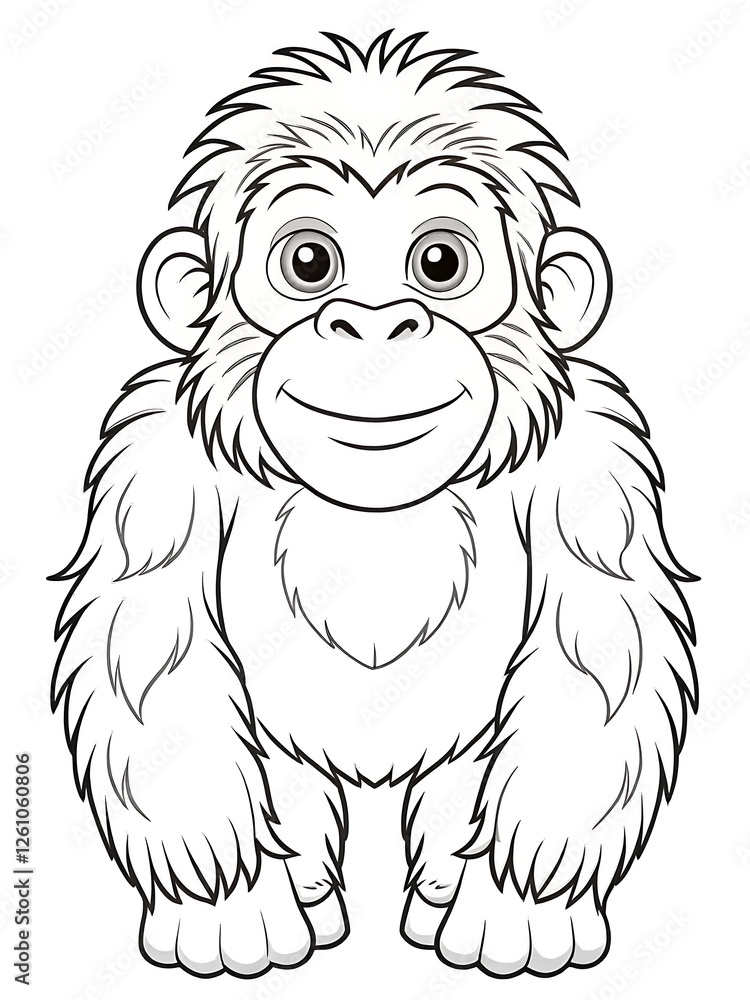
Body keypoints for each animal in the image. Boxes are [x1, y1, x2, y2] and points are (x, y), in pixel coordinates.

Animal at [52, 31, 697, 980]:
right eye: (309, 263)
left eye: (440, 263)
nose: (375, 324)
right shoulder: (156, 468)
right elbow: (153, 654)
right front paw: (225, 901)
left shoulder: (593, 466)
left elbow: (596, 656)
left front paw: (523, 899)